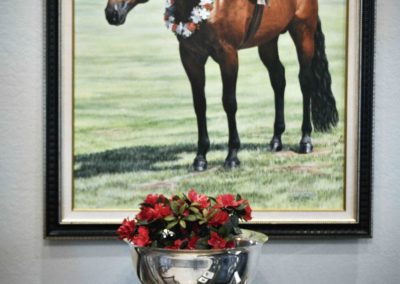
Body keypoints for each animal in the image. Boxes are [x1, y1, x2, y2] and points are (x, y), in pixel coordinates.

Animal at [104, 0, 338, 171]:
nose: (111, 13)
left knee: (305, 82)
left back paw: (305, 140)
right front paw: (200, 158)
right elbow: (200, 105)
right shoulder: (191, 58)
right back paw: (276, 139)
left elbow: (229, 103)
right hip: (268, 40)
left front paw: (232, 156)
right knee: (278, 79)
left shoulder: (228, 56)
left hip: (303, 32)